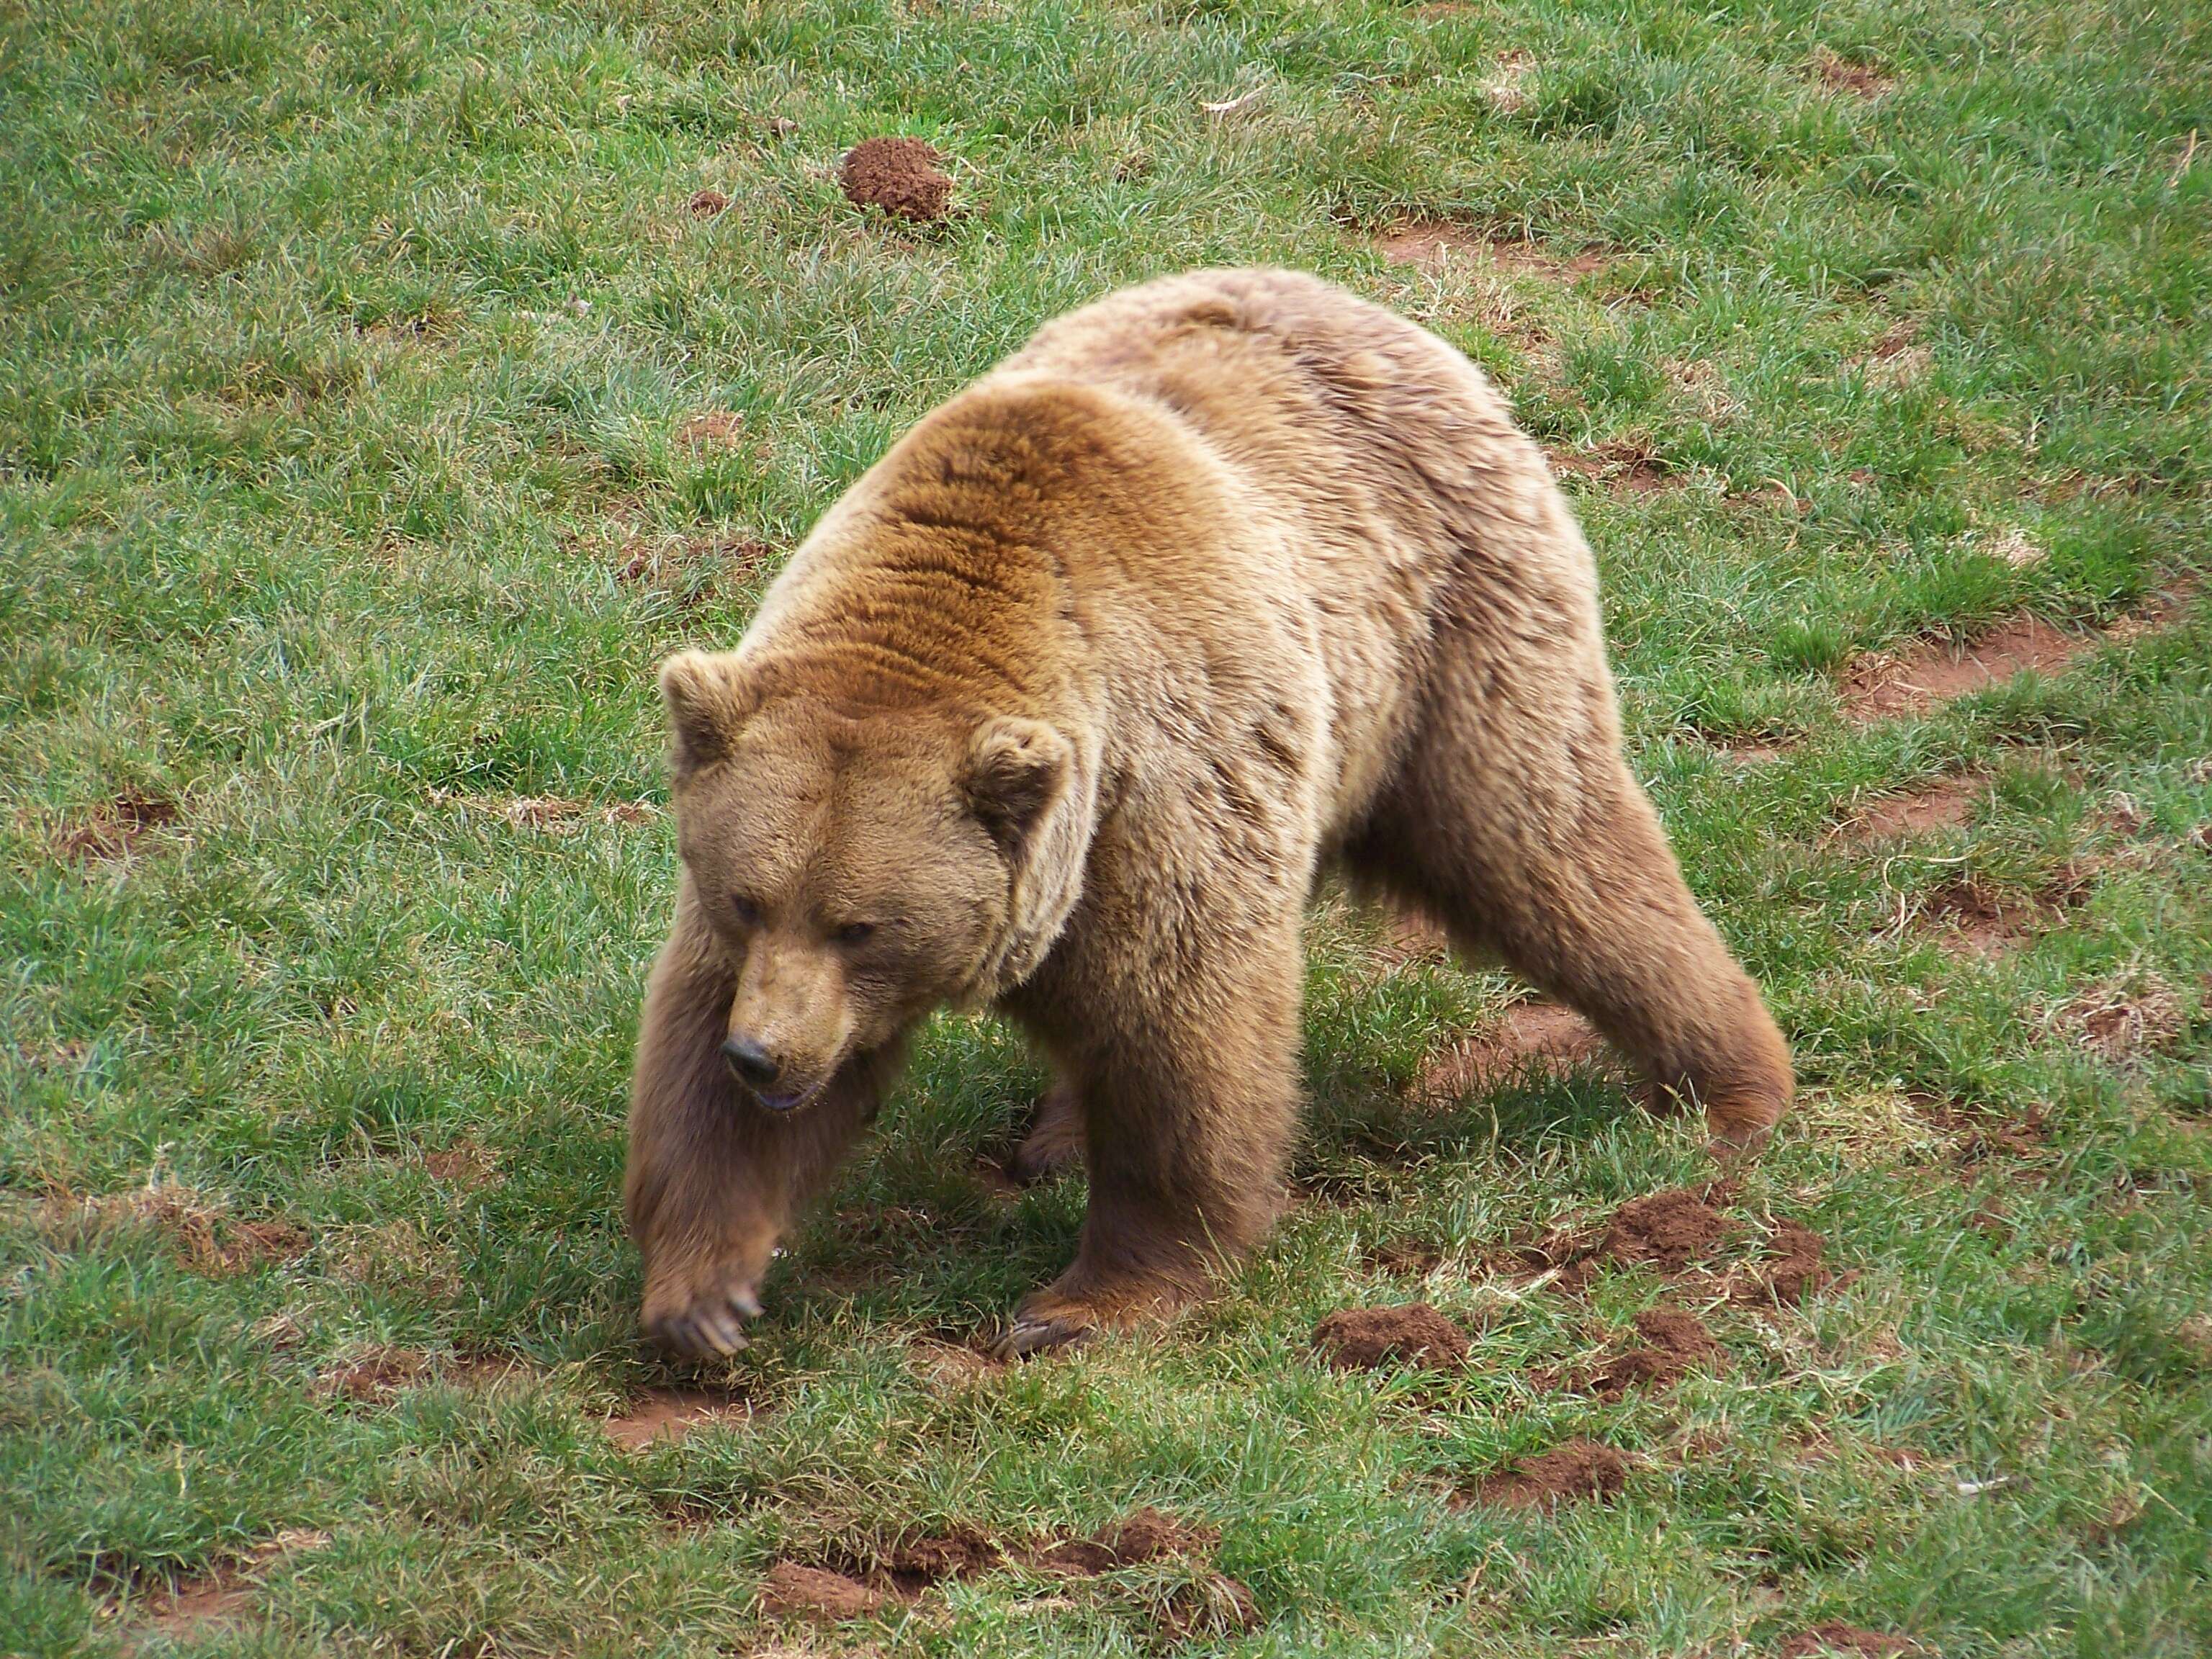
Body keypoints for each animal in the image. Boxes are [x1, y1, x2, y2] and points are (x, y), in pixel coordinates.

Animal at [619, 266, 1778, 1354]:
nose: (763, 1056)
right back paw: (1055, 1138)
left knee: (1550, 845)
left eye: (861, 925)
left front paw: (1088, 1302)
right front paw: (705, 1289)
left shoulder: (1160, 788)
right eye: (747, 899)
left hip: (1451, 638)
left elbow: (1182, 1032)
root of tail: (1381, 313)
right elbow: (696, 1043)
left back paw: (1731, 1087)